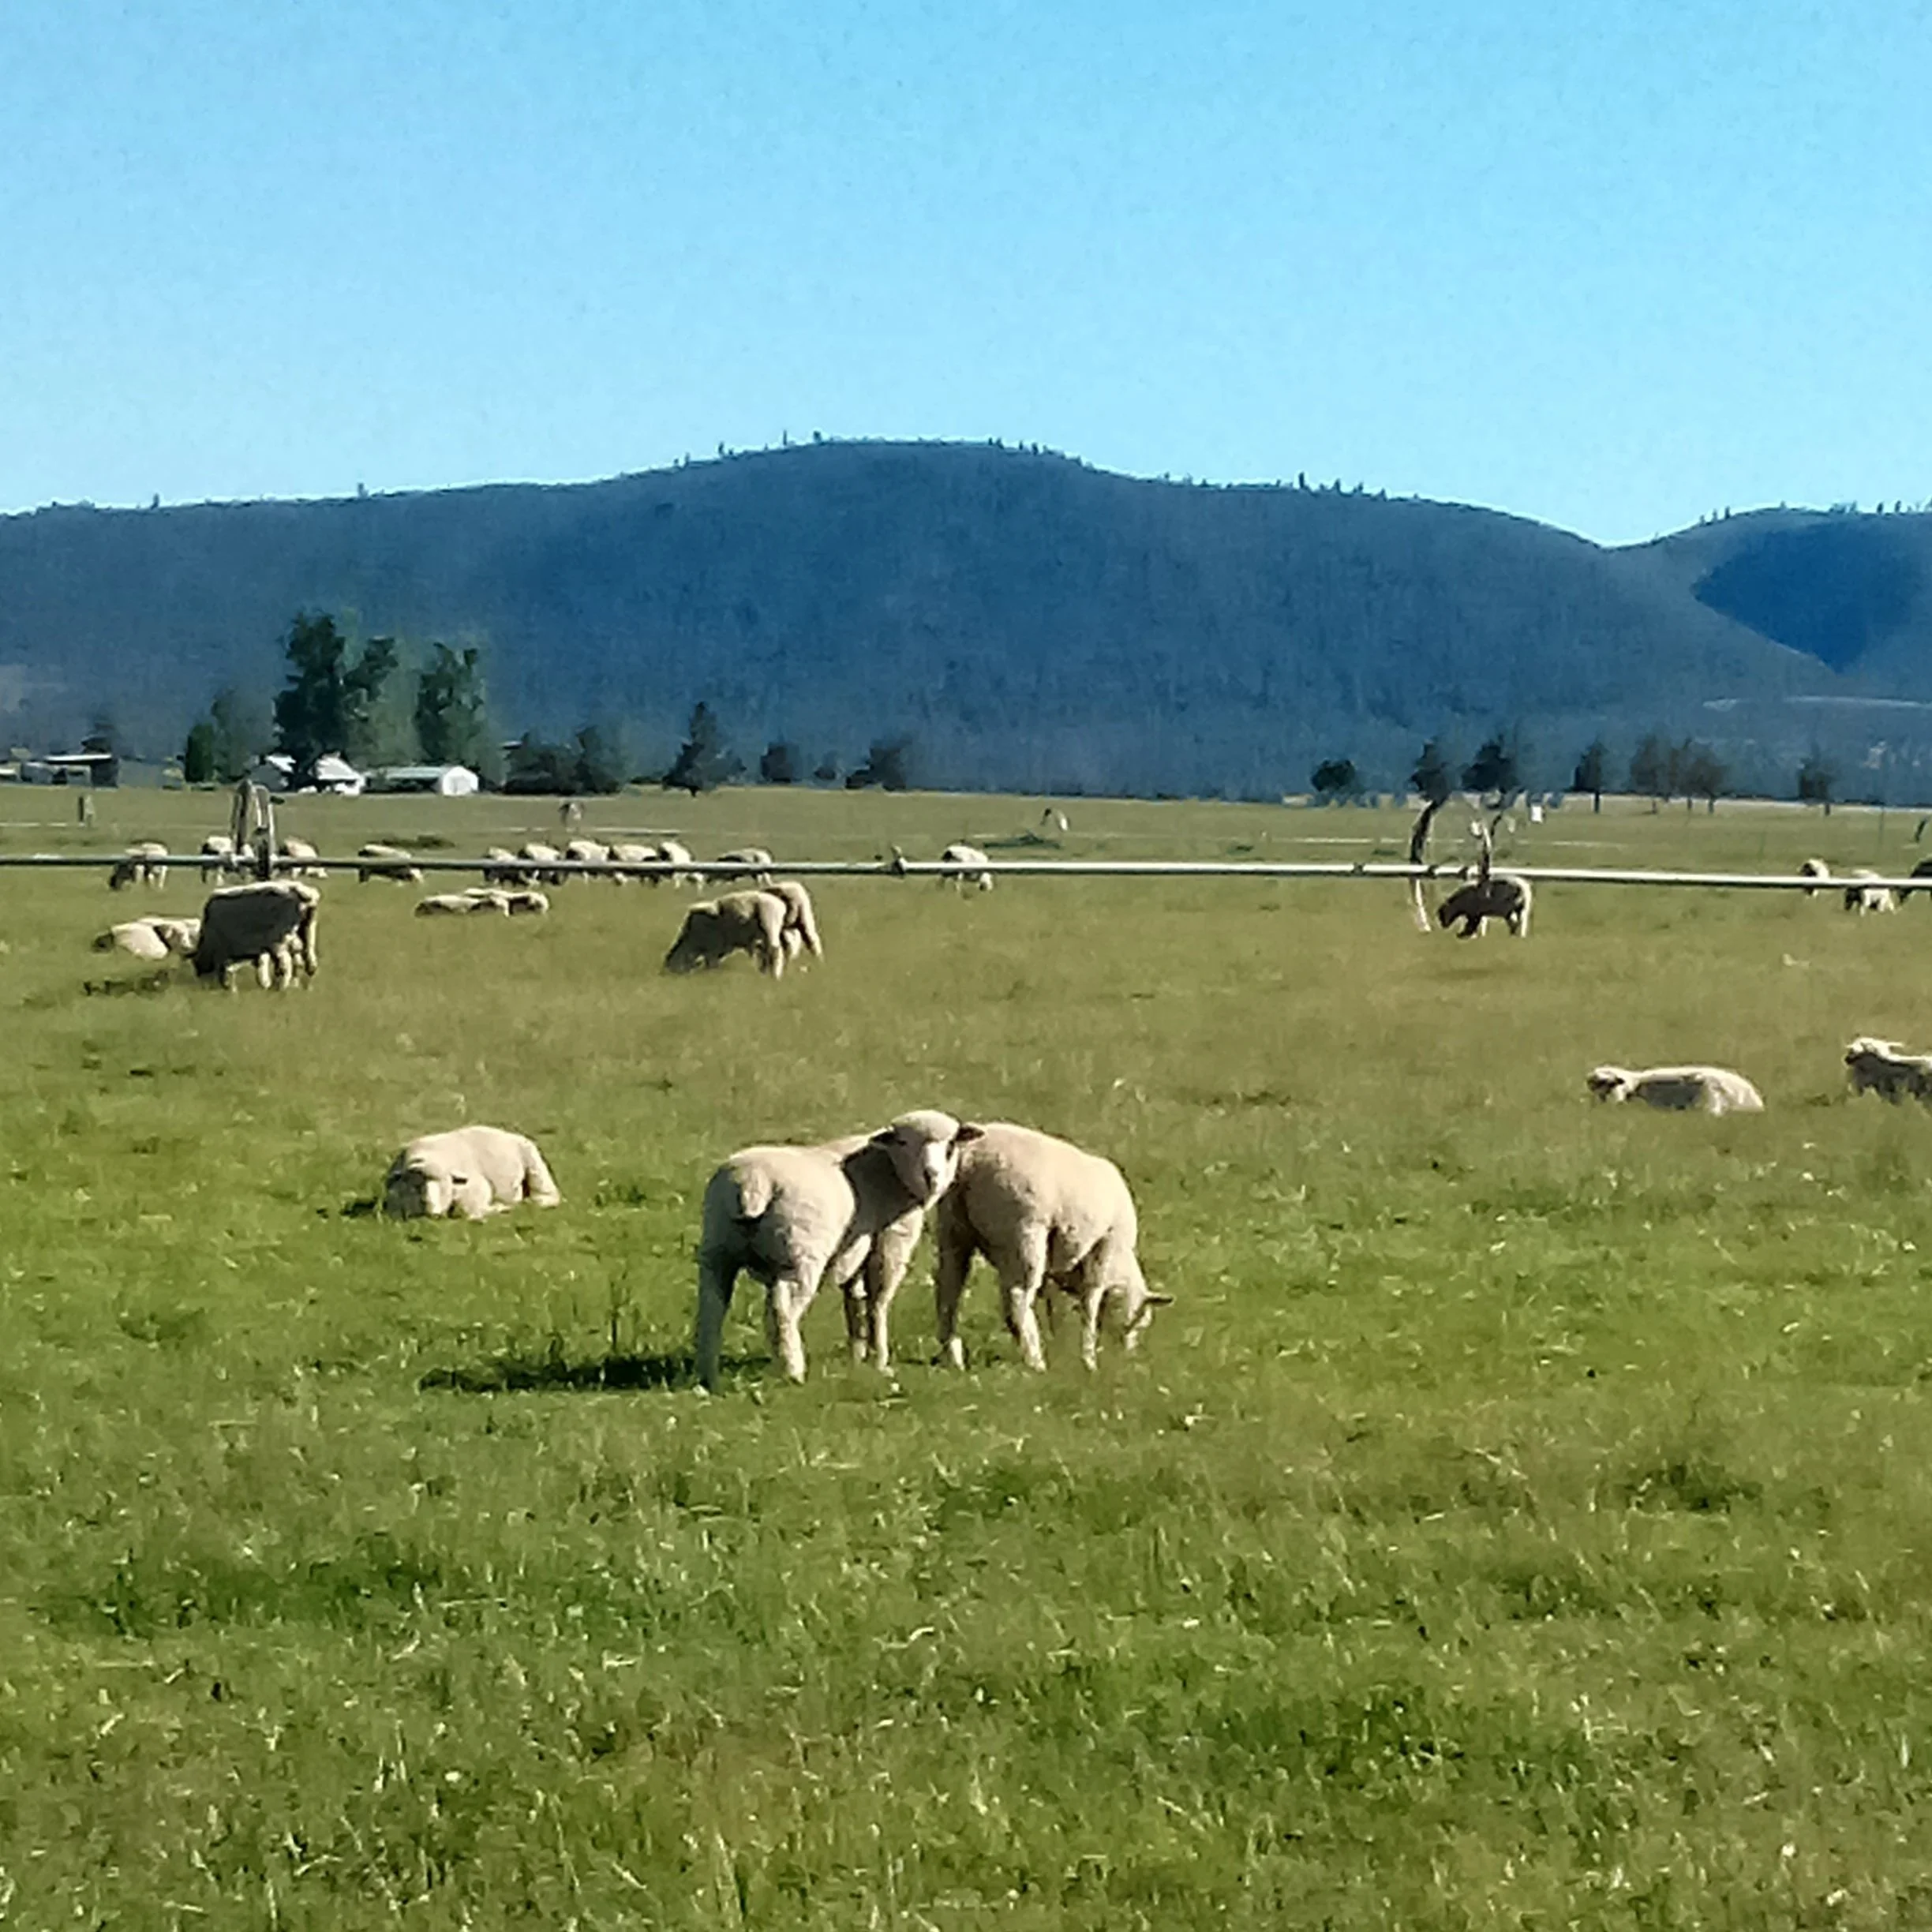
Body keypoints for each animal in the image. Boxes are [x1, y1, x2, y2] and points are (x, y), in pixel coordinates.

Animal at [192, 880, 320, 989]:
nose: (203, 984)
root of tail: (299, 891)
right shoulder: (261, 950)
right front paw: (266, 984)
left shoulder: (223, 952)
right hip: (307, 931)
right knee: (309, 960)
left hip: (279, 941)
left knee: (287, 964)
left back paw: (282, 988)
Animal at [383, 1125, 562, 1220]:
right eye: (415, 1185)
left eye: (445, 1185)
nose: (431, 1208)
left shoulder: (477, 1188)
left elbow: (469, 1210)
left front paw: (499, 1208)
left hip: (534, 1164)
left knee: (546, 1194)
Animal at [663, 889, 790, 977]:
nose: (670, 973)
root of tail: (780, 904)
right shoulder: (720, 949)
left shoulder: (713, 950)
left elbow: (711, 964)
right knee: (766, 954)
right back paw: (764, 973)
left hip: (770, 929)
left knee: (774, 952)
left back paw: (773, 976)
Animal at [694, 1110, 982, 1386]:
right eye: (902, 1142)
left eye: (951, 1145)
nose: (931, 1176)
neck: (889, 1170)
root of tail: (751, 1183)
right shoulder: (890, 1242)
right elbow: (878, 1302)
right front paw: (880, 1360)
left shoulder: (854, 1252)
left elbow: (854, 1300)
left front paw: (857, 1356)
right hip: (799, 1253)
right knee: (782, 1311)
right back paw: (793, 1371)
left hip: (717, 1250)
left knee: (711, 1308)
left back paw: (707, 1374)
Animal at [933, 1122, 1169, 1373]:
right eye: (1136, 1323)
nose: (1128, 1358)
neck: (1122, 1261)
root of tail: (971, 1156)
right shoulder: (1103, 1251)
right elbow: (1090, 1306)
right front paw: (1088, 1359)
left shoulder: (1055, 1268)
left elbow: (1054, 1305)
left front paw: (1060, 1347)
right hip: (1024, 1232)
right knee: (1017, 1298)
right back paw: (1035, 1361)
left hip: (952, 1227)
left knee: (948, 1291)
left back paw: (953, 1357)